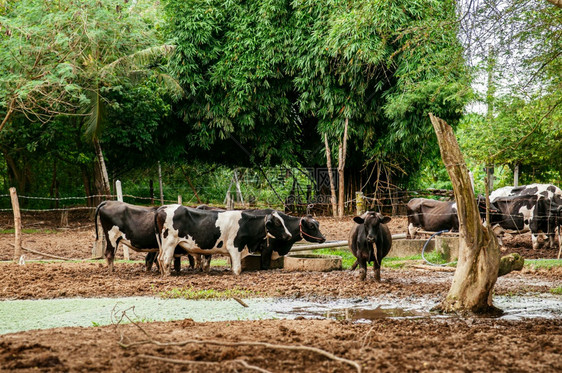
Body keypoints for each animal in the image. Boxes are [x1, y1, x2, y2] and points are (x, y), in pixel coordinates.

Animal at [154, 205, 294, 274]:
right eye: (278, 223)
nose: (289, 235)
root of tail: (162, 208)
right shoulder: (235, 247)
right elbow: (237, 269)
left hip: (163, 244)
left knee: (159, 258)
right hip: (170, 243)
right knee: (165, 260)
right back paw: (168, 275)